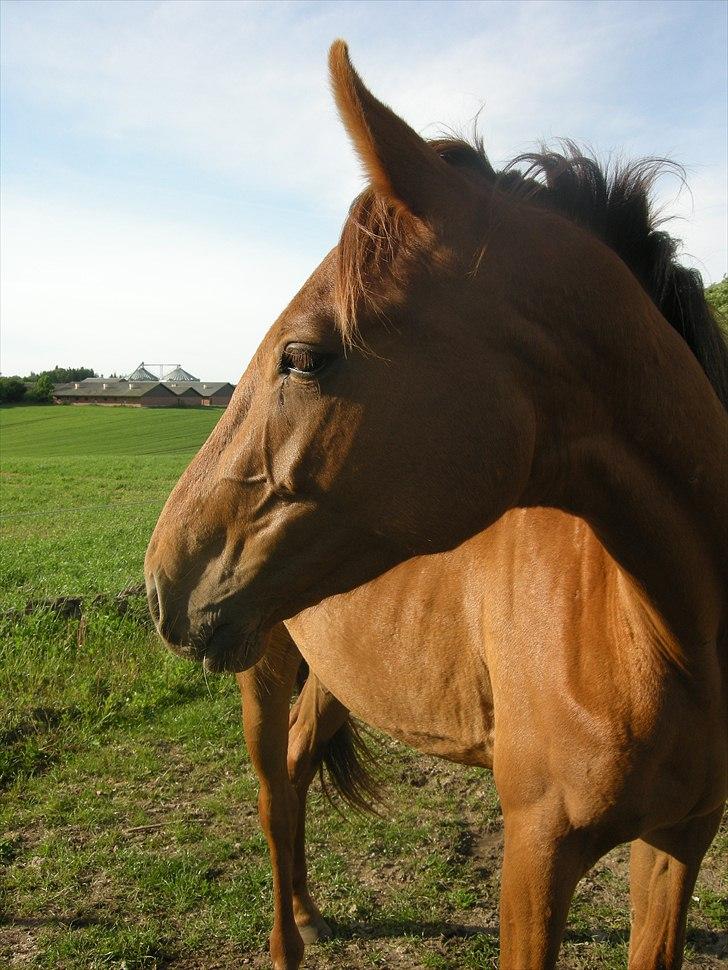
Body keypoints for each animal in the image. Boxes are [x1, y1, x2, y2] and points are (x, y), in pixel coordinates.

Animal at [145, 41, 724, 964]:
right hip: (262, 672)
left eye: (303, 356)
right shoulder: (537, 850)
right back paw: (286, 937)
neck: (668, 635)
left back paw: (310, 911)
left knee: (300, 767)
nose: (164, 575)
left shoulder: (682, 836)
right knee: (274, 796)